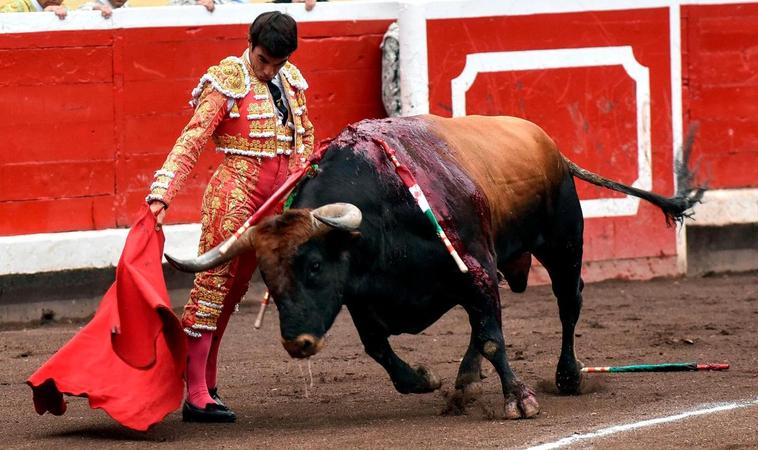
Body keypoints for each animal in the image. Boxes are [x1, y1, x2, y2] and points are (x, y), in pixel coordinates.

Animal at [168, 115, 708, 418]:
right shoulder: (364, 295)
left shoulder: (476, 266)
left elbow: (492, 336)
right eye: (268, 277)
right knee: (482, 324)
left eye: (316, 266)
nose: (297, 344)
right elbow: (379, 346)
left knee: (567, 303)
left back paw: (568, 376)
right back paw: (464, 384)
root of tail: (551, 148)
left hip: (562, 242)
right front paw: (423, 381)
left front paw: (519, 400)